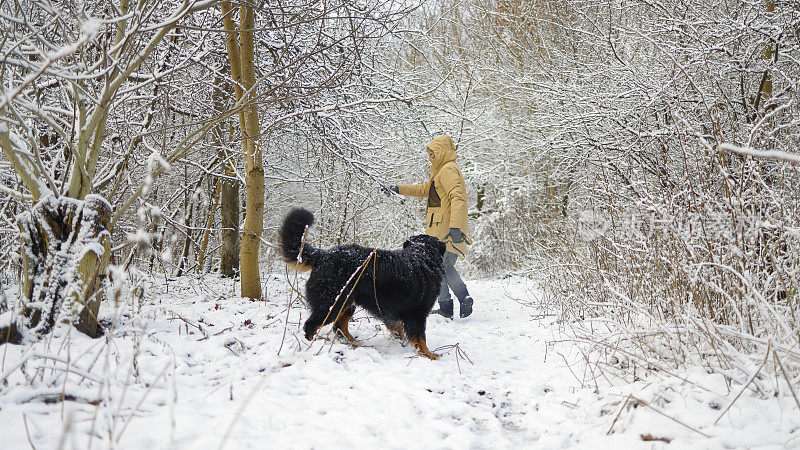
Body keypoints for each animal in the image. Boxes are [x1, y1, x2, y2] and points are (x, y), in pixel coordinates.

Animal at [278, 207, 446, 358]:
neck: (422, 256)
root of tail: (324, 255)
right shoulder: (417, 313)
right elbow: (420, 338)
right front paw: (428, 354)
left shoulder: (394, 313)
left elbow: (399, 330)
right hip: (330, 304)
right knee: (311, 325)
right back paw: (311, 346)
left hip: (346, 303)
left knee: (339, 326)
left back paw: (354, 343)